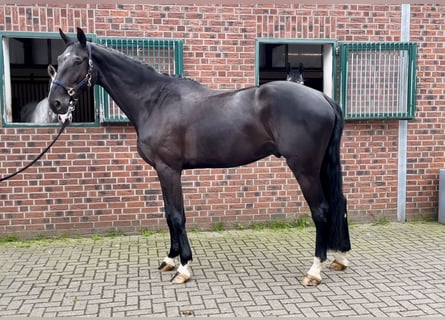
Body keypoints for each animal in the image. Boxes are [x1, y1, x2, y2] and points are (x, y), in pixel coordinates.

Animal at [46, 28, 348, 284]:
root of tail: (323, 98)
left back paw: (314, 271)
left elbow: (177, 215)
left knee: (321, 210)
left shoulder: (169, 169)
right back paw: (340, 258)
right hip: (319, 166)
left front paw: (184, 267)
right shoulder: (162, 171)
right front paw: (170, 259)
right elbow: (169, 213)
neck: (155, 101)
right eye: (58, 59)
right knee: (338, 203)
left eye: (77, 61)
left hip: (304, 168)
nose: (56, 103)